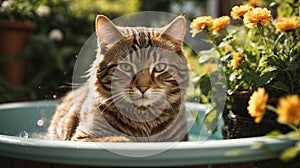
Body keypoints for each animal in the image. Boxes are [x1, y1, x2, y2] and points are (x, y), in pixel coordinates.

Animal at [47, 14, 189, 142]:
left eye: (159, 67)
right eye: (126, 67)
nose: (143, 88)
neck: (144, 118)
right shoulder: (82, 137)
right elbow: (117, 139)